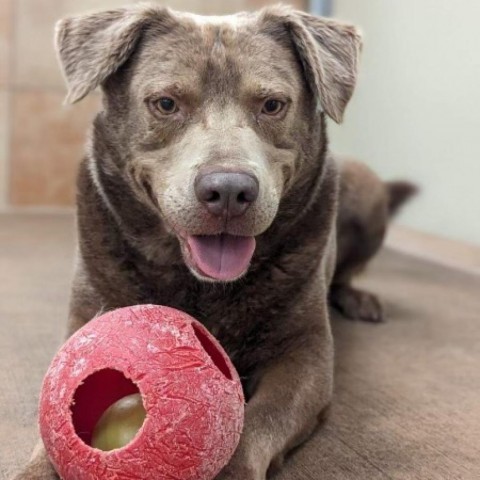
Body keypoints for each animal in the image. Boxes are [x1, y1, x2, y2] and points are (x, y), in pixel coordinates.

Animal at [13, 4, 412, 480]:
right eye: (166, 103)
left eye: (272, 105)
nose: (229, 191)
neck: (198, 285)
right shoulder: (83, 327)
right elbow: (53, 423)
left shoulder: (305, 355)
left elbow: (259, 420)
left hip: (364, 189)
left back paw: (359, 298)